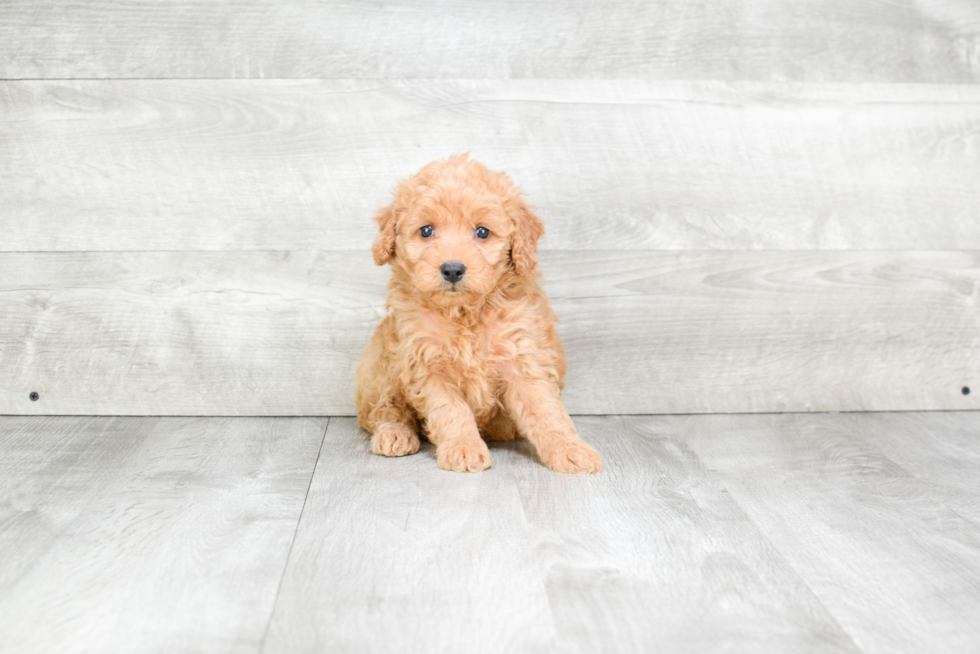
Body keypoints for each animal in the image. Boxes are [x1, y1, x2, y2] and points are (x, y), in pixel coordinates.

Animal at [356, 156, 600, 474]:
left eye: (483, 232)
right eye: (426, 230)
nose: (452, 269)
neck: (465, 313)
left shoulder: (523, 357)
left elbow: (545, 410)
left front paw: (570, 449)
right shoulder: (425, 363)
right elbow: (451, 410)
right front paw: (464, 449)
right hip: (380, 363)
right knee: (383, 409)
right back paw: (394, 434)